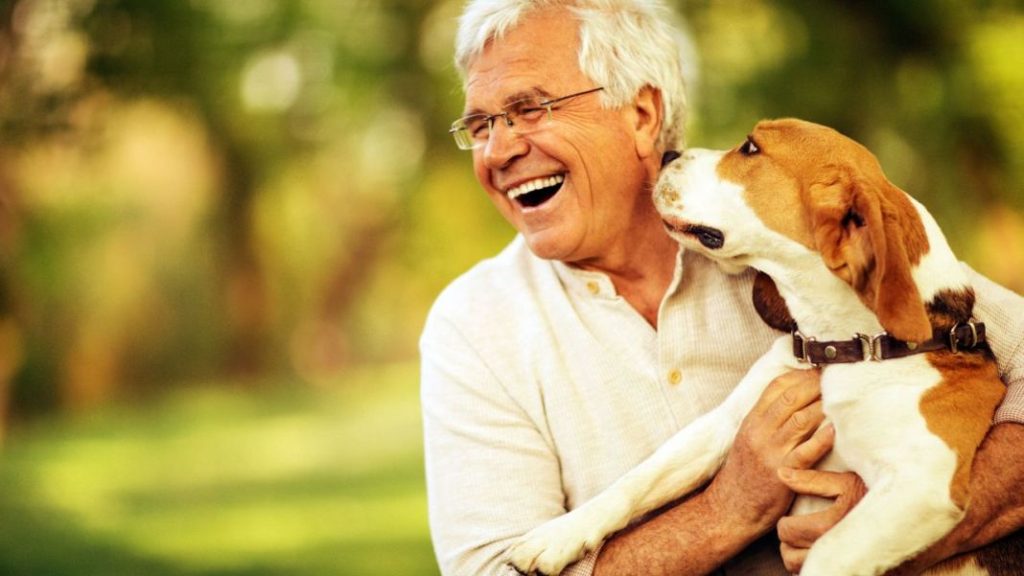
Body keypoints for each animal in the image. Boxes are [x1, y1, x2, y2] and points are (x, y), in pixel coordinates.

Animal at [507, 118, 1003, 569]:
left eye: (749, 147)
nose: (667, 155)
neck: (842, 349)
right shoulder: (729, 422)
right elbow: (639, 479)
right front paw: (558, 535)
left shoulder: (923, 483)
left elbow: (827, 550)